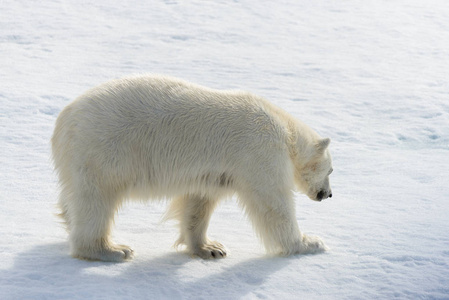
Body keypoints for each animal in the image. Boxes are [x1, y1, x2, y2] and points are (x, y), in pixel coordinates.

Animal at [52, 75, 332, 262]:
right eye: (331, 171)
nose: (328, 195)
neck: (286, 133)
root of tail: (65, 119)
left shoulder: (214, 173)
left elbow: (198, 203)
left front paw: (211, 248)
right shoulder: (260, 152)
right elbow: (274, 205)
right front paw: (311, 242)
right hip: (104, 150)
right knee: (97, 200)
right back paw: (112, 250)